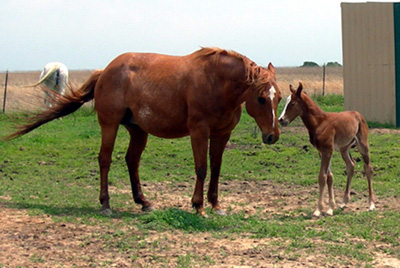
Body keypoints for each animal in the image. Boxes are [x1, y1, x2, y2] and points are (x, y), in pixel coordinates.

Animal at [6, 47, 282, 217]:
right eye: (260, 98)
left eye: (278, 97)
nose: (272, 136)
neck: (216, 83)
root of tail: (106, 70)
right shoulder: (199, 131)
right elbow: (202, 168)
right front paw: (198, 206)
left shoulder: (222, 134)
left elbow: (216, 168)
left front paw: (216, 205)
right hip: (109, 125)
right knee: (104, 160)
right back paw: (106, 204)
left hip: (138, 130)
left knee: (132, 161)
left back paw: (143, 202)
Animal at [278, 82, 376, 217]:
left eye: (292, 103)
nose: (281, 120)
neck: (320, 123)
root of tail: (358, 114)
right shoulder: (322, 151)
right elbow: (329, 177)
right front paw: (330, 207)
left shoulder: (327, 151)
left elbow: (322, 177)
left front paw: (318, 209)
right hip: (344, 148)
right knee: (351, 166)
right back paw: (343, 202)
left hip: (363, 145)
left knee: (368, 168)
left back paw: (371, 204)